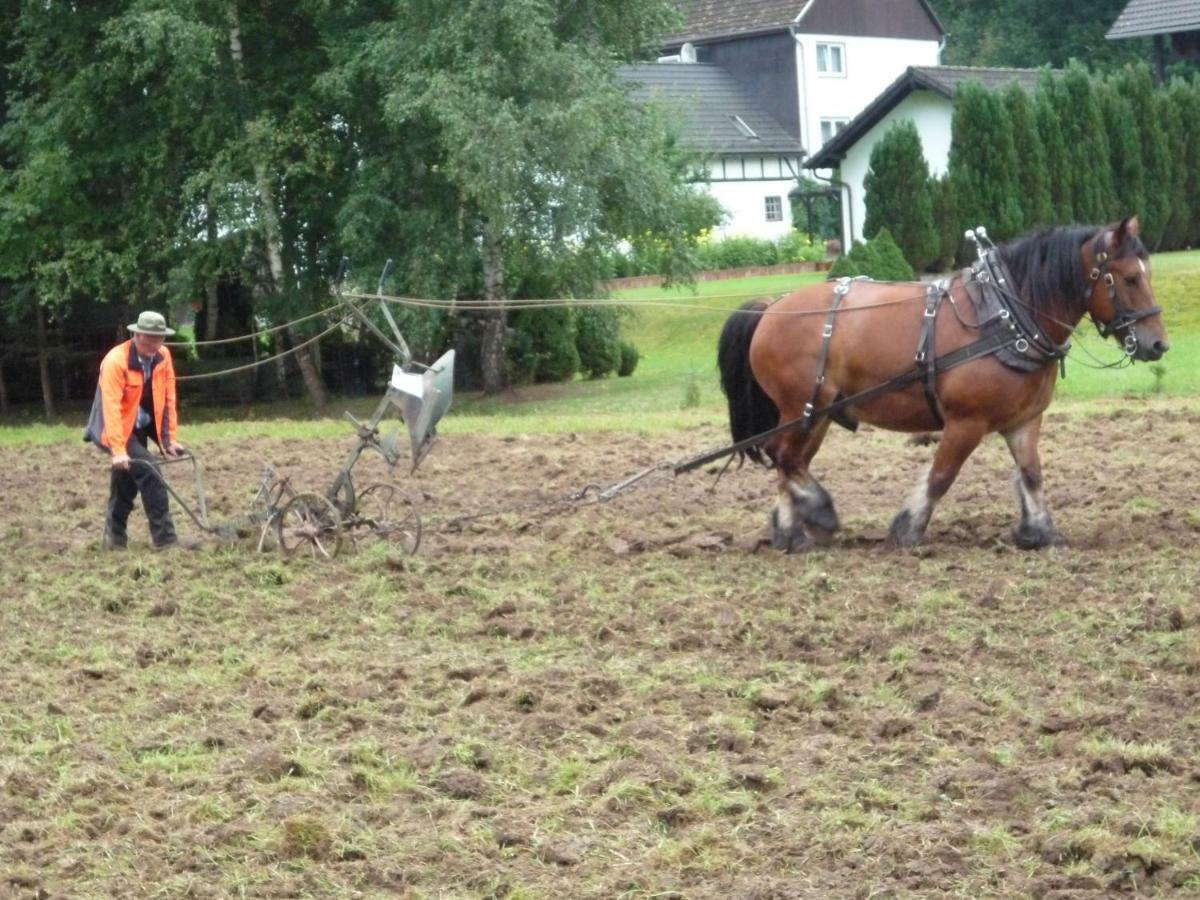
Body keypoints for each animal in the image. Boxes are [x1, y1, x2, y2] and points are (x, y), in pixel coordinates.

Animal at [715, 222, 1166, 554]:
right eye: (1129, 278)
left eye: (1147, 275)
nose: (1159, 344)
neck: (1005, 317)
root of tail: (772, 307)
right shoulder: (966, 422)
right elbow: (941, 476)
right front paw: (908, 529)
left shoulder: (1023, 420)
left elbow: (1032, 474)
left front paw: (1040, 531)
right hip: (802, 408)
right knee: (784, 457)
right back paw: (817, 515)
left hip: (816, 414)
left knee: (788, 462)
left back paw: (792, 530)